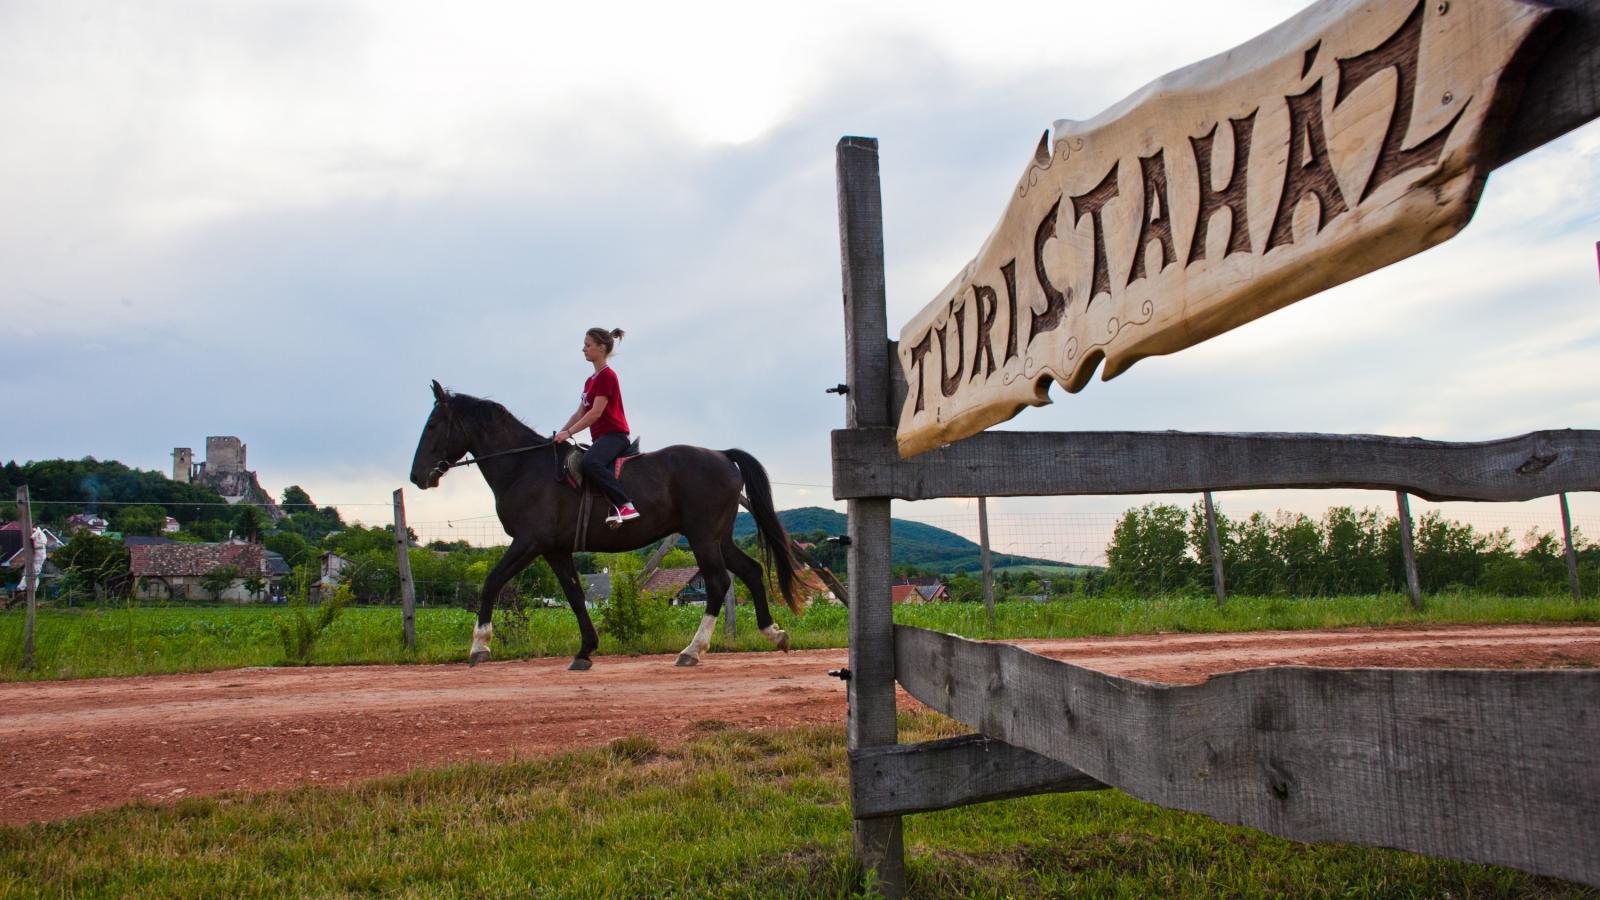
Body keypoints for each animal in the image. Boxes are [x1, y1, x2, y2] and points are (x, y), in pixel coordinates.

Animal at [409, 377, 800, 666]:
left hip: (703, 537)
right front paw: (585, 650)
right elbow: (575, 595)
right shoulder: (555, 550)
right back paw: (774, 632)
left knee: (718, 583)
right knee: (750, 571)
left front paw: (479, 646)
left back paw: (692, 650)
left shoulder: (529, 542)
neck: (524, 467)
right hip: (718, 537)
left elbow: (491, 582)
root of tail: (722, 455)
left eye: (432, 424)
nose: (416, 477)